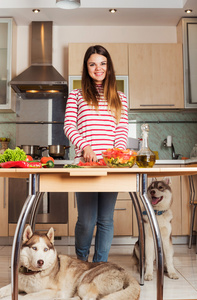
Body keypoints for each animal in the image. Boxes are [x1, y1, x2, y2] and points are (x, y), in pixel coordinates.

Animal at [0, 225, 140, 300]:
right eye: (34, 248)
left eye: (45, 249)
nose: (41, 262)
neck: (32, 273)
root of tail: (125, 272)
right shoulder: (16, 284)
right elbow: (3, 289)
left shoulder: (52, 290)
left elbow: (26, 296)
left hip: (85, 282)